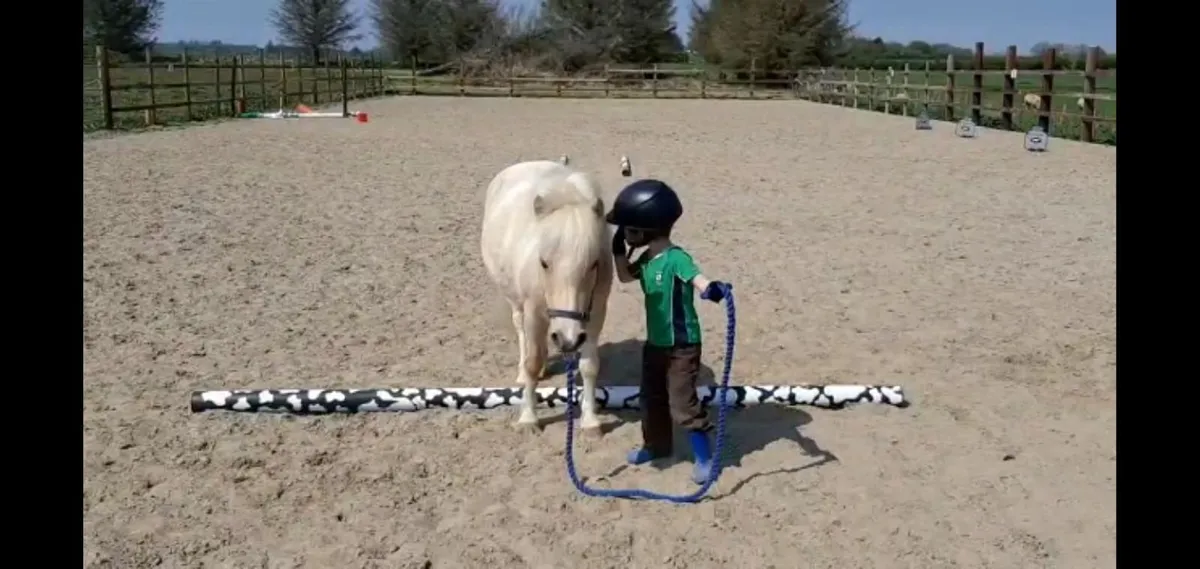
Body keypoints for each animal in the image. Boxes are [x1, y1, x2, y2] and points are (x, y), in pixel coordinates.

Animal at [480, 159, 615, 434]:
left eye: (593, 264)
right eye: (543, 263)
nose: (567, 338)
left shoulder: (596, 313)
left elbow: (589, 366)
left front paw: (590, 421)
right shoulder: (534, 312)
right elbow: (532, 361)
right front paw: (528, 418)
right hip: (517, 303)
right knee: (522, 333)